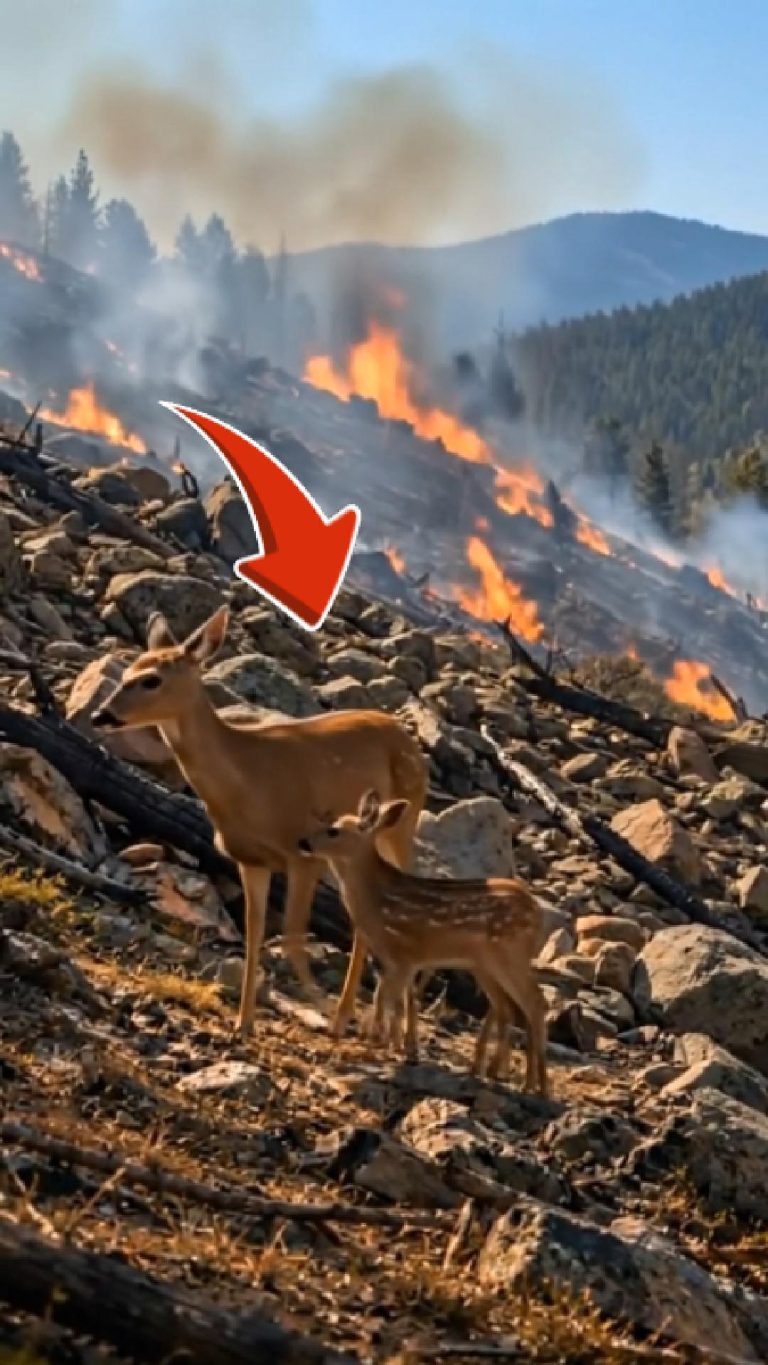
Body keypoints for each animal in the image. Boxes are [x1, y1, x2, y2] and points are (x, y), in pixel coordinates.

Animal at [90, 605, 428, 1040]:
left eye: (151, 679)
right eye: (128, 668)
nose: (101, 715)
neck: (246, 782)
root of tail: (408, 738)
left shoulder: (304, 853)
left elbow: (292, 941)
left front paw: (319, 1009)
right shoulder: (251, 859)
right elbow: (253, 935)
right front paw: (243, 1022)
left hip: (403, 823)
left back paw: (367, 1024)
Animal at [297, 790, 549, 1096]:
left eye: (333, 830)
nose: (303, 842)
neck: (376, 903)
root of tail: (538, 914)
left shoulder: (405, 956)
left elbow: (387, 998)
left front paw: (377, 1043)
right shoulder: (395, 960)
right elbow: (390, 996)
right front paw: (394, 1046)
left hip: (509, 953)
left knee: (535, 1001)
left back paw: (536, 1086)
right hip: (485, 964)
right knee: (509, 1007)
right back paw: (498, 1074)